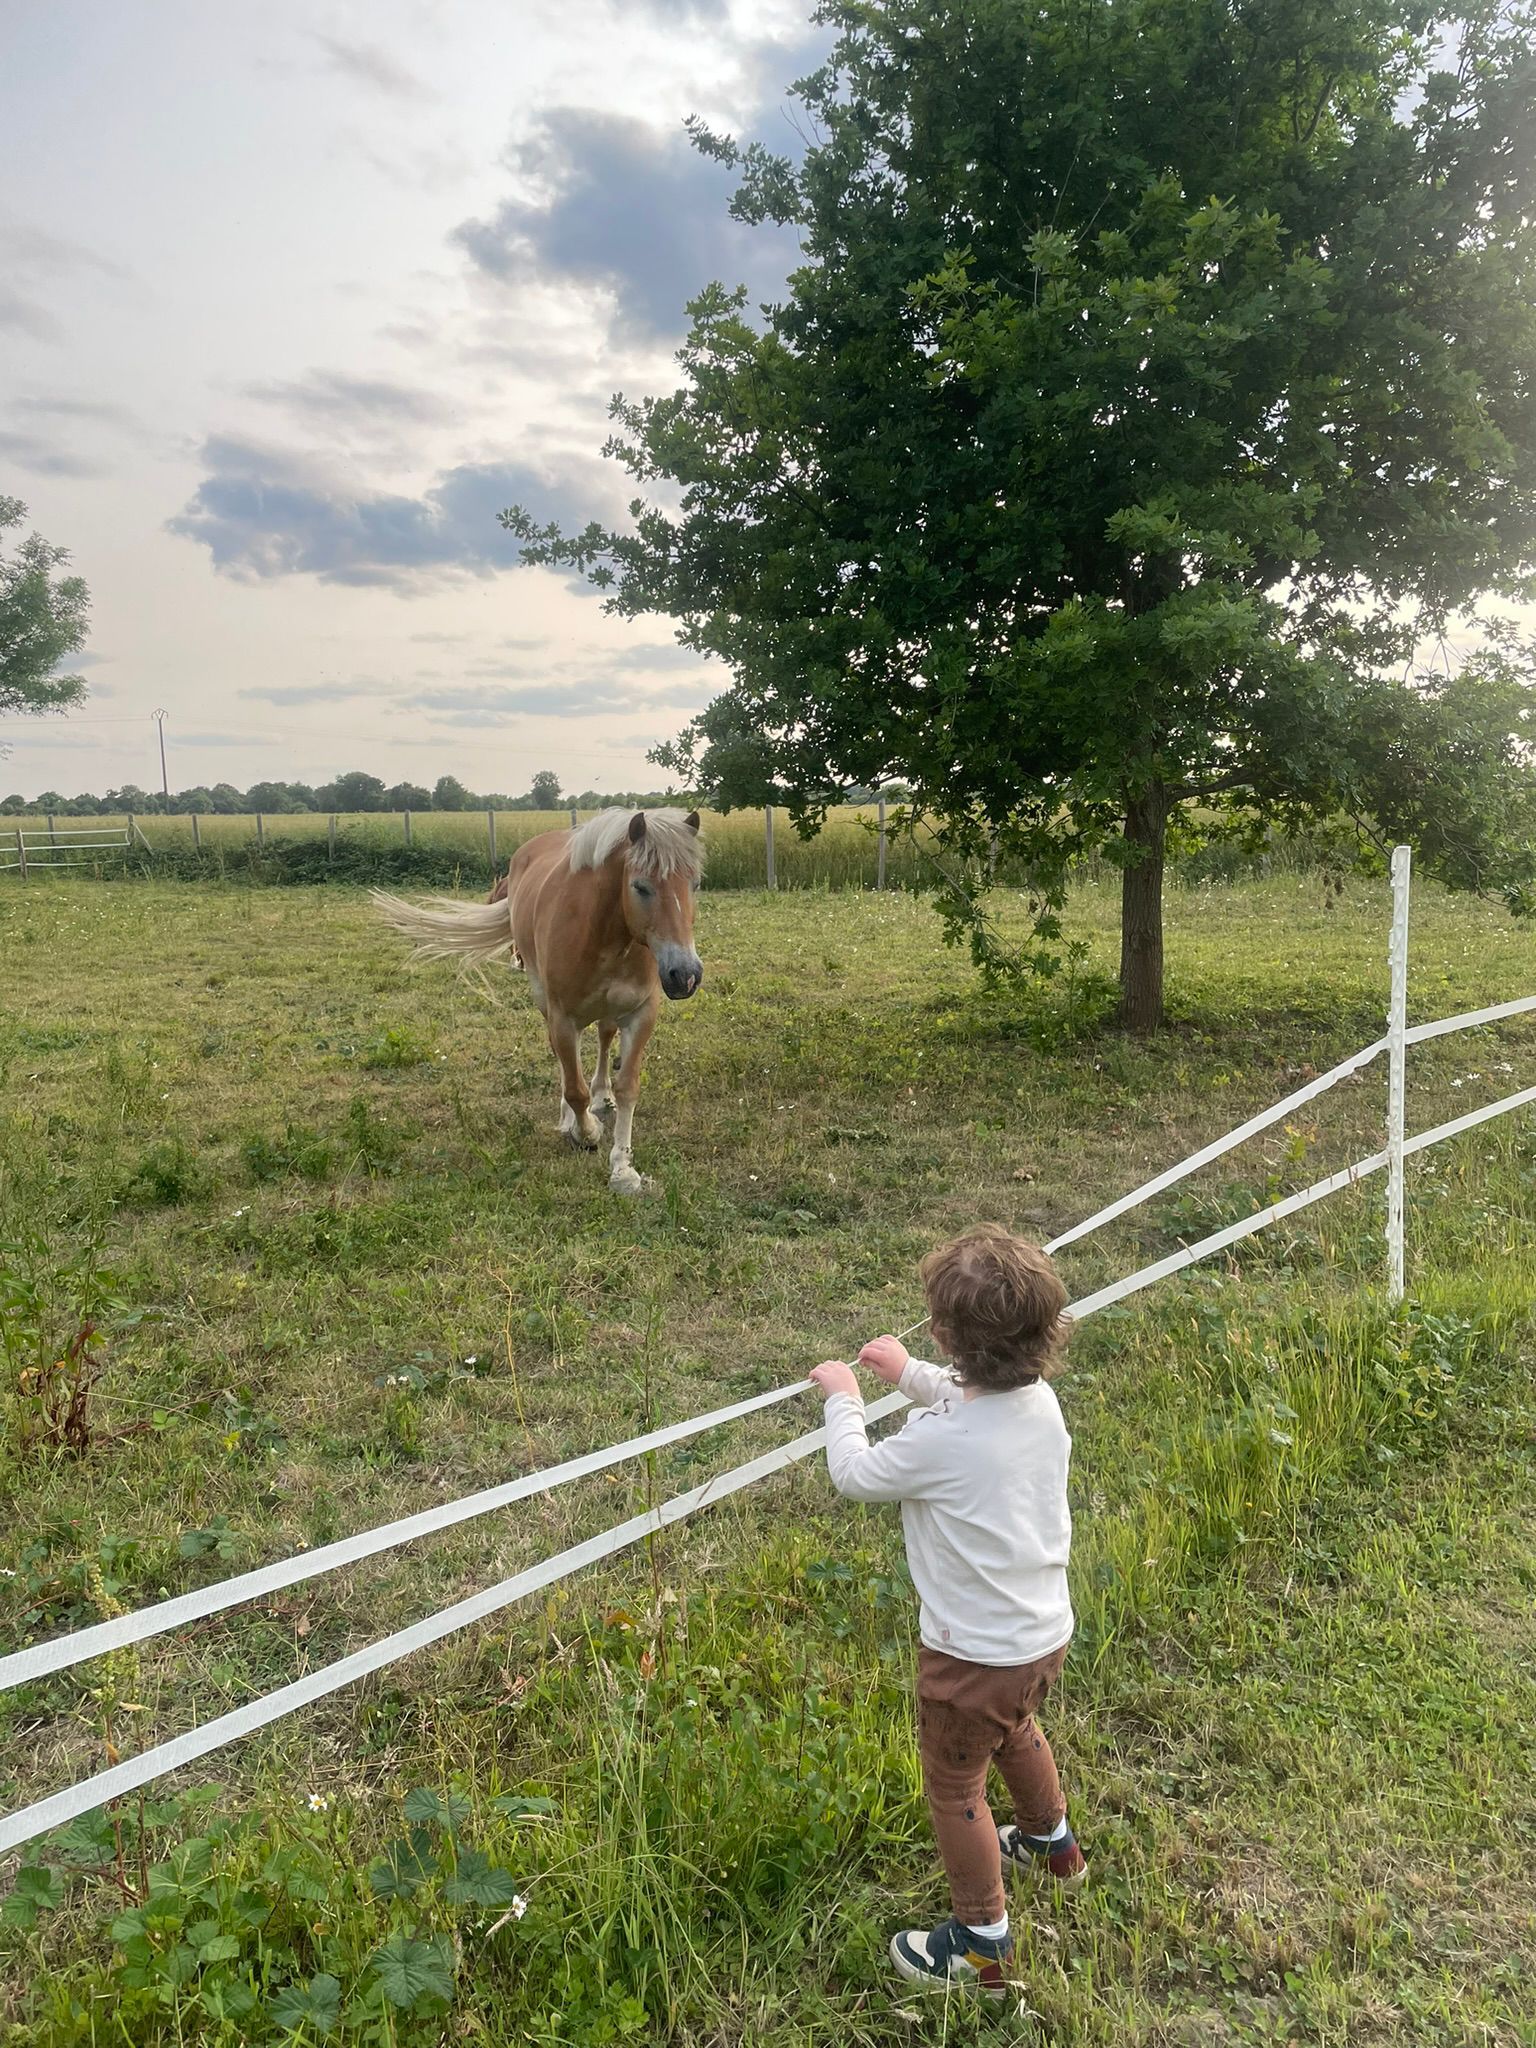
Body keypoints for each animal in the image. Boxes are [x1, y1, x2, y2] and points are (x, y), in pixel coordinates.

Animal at [371, 808, 704, 1194]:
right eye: (640, 886)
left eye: (695, 884)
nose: (685, 975)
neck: (603, 932)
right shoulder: (562, 1017)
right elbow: (574, 1089)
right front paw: (584, 1132)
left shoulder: (641, 1013)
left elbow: (627, 1088)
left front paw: (623, 1169)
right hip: (545, 1000)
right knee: (564, 1060)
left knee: (604, 1036)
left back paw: (601, 1095)